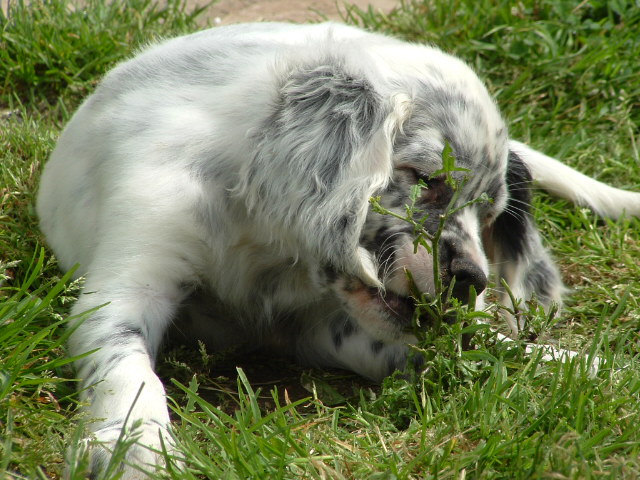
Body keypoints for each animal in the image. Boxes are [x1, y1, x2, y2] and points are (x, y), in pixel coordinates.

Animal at [36, 21, 640, 476]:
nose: (473, 281)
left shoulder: (336, 327)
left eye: (489, 217)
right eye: (425, 178)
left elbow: (492, 349)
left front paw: (597, 369)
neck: (264, 242)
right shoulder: (128, 277)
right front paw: (136, 449)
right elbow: (128, 367)